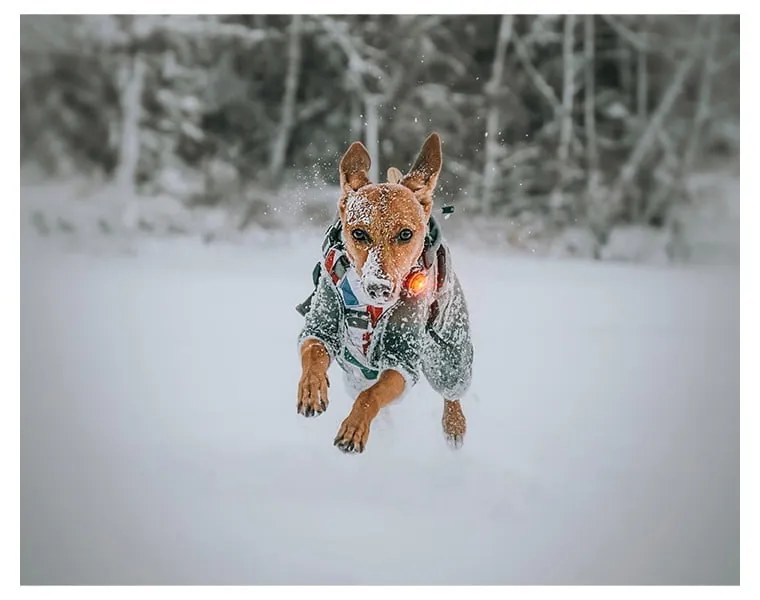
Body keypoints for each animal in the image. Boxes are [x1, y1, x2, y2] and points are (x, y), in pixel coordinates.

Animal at [298, 134, 472, 452]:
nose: (378, 287)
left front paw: (355, 427)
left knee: (450, 387)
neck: (370, 308)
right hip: (354, 375)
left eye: (405, 234)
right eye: (359, 233)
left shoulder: (401, 359)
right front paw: (312, 389)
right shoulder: (322, 321)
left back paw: (454, 425)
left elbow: (372, 396)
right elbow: (313, 351)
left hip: (449, 351)